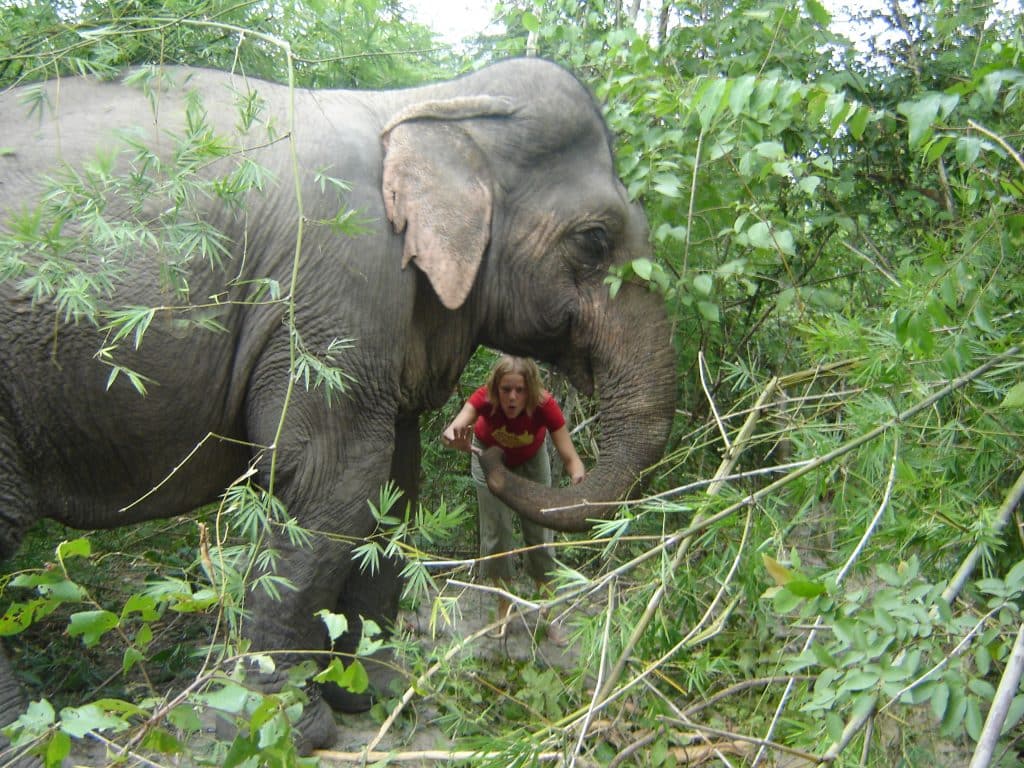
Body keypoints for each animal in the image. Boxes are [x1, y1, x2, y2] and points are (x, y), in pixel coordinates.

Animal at [0, 57, 676, 755]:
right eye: (594, 241)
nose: (484, 446)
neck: (429, 104)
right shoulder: (338, 282)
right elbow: (336, 480)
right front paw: (285, 727)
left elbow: (394, 488)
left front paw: (368, 695)